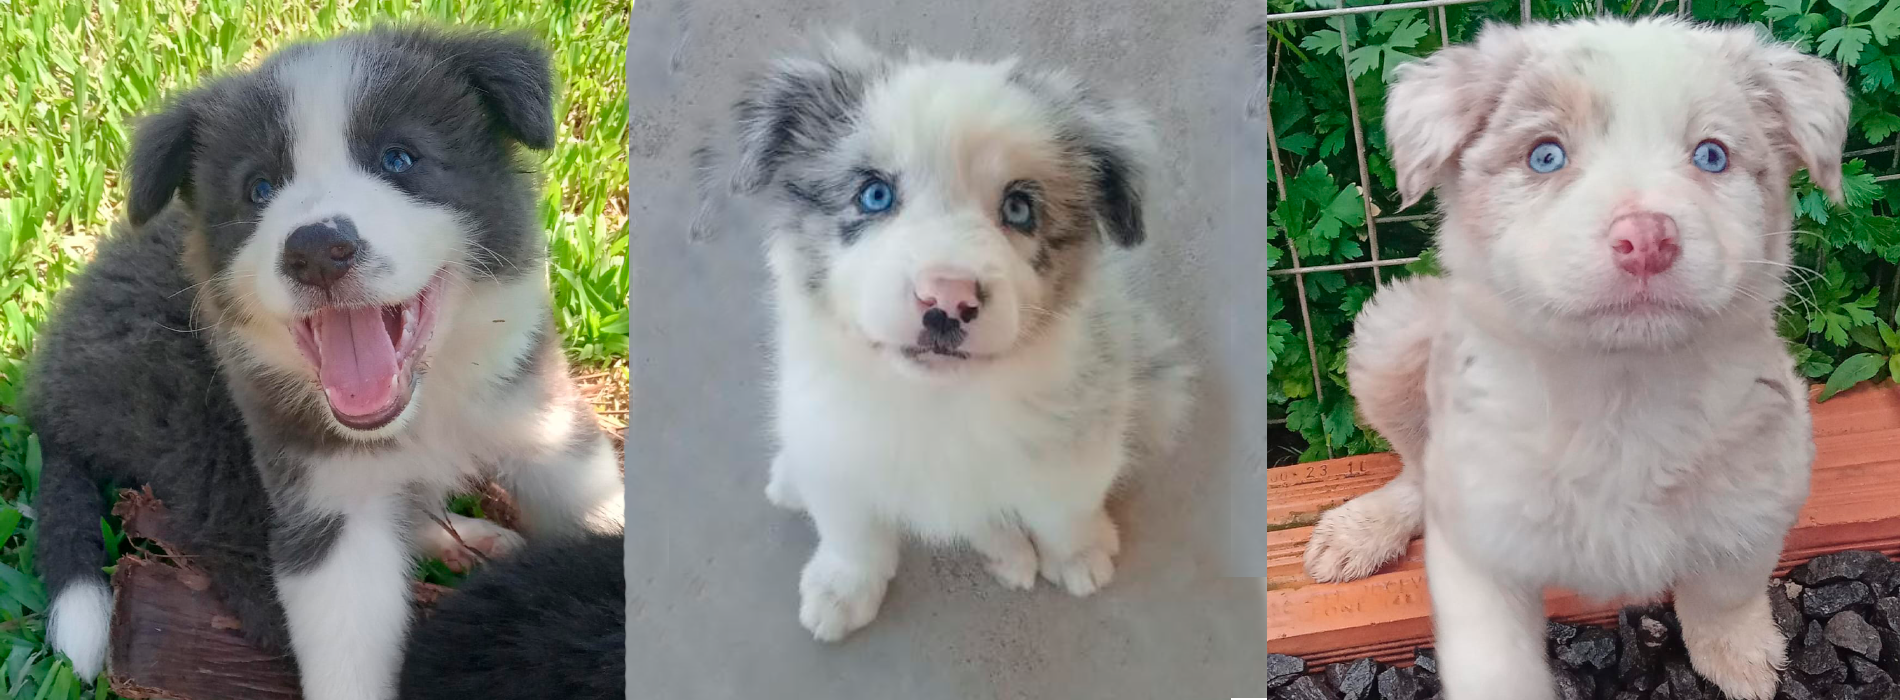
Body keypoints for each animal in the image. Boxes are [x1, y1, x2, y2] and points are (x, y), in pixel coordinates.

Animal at [27, 24, 623, 696]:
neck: (423, 405)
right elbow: (345, 643)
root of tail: (49, 401)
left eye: (398, 159)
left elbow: (594, 498)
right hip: (189, 411)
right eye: (258, 189)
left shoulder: (536, 412)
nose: (315, 251)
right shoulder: (322, 496)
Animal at [733, 35, 1193, 642]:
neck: (940, 402)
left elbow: (1064, 508)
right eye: (874, 195)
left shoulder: (1078, 435)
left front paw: (1078, 554)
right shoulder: (836, 439)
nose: (947, 301)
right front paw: (842, 588)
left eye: (1019, 208)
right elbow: (852, 529)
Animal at [1299, 17, 1846, 700]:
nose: (1647, 239)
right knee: (1418, 469)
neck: (1622, 393)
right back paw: (1359, 531)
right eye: (1545, 156)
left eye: (1712, 154)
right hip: (1393, 335)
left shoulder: (1768, 473)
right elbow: (1494, 661)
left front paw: (1739, 656)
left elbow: (1727, 585)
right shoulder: (1480, 536)